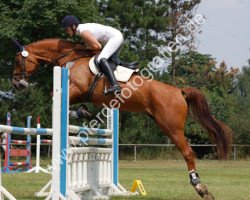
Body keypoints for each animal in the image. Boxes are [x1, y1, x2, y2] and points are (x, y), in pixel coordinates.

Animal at [12, 39, 232, 198]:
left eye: (16, 61)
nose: (17, 84)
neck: (71, 59)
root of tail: (179, 91)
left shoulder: (76, 89)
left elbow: (54, 95)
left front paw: (79, 113)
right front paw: (84, 112)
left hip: (172, 128)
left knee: (188, 153)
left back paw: (200, 187)